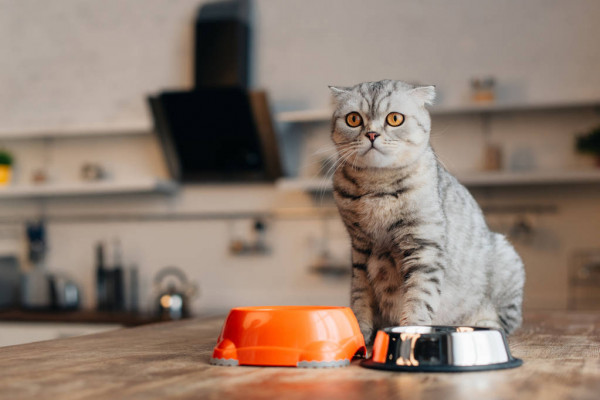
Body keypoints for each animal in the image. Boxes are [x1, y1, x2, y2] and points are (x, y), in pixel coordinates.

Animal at [328, 80, 524, 344]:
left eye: (395, 119)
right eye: (353, 119)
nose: (371, 134)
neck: (376, 187)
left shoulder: (424, 247)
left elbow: (419, 297)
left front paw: (411, 331)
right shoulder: (360, 249)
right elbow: (360, 297)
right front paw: (361, 333)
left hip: (506, 261)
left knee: (506, 322)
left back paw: (483, 325)